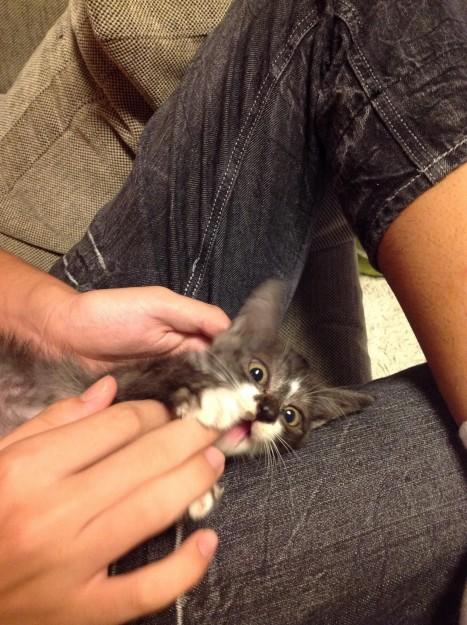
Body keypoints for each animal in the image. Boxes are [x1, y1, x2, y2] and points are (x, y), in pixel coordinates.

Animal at [0, 279, 372, 518]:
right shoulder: (118, 379)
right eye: (257, 373)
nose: (266, 410)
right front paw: (207, 398)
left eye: (291, 416)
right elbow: (154, 379)